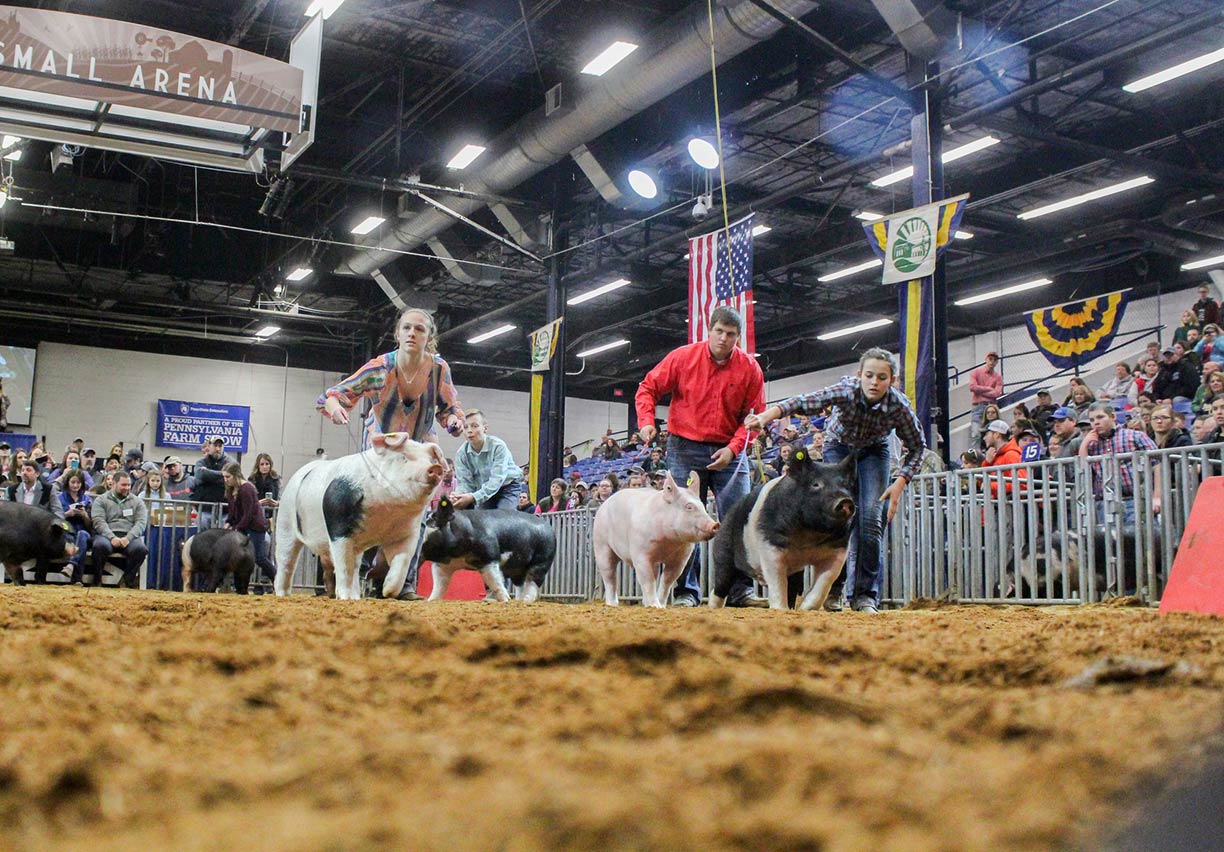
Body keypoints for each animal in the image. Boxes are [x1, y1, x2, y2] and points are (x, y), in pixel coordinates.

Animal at [592, 472, 714, 604]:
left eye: (703, 506)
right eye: (689, 507)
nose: (715, 524)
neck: (669, 542)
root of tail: (604, 504)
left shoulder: (681, 558)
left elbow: (667, 581)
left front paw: (661, 605)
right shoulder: (640, 553)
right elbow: (648, 580)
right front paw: (655, 606)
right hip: (601, 543)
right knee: (609, 575)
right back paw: (612, 604)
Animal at [705, 452, 856, 612]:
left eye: (846, 485)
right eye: (816, 484)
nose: (845, 501)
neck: (809, 537)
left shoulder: (838, 550)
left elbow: (825, 582)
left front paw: (804, 609)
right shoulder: (770, 545)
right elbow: (777, 580)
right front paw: (780, 609)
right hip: (723, 555)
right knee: (720, 585)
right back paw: (712, 608)